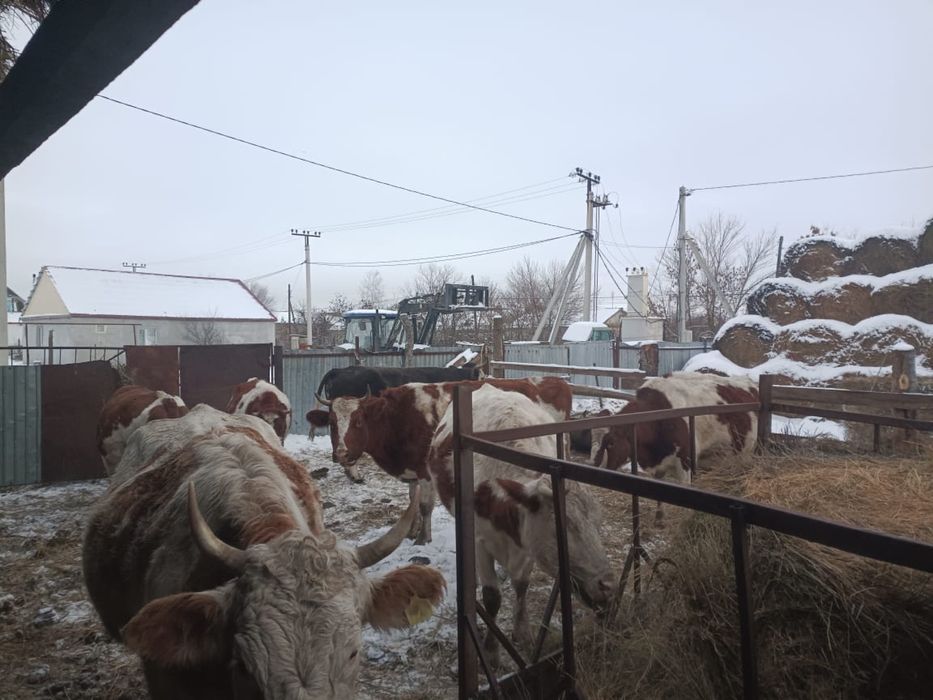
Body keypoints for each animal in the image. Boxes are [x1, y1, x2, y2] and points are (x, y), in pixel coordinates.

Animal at [306, 376, 573, 544]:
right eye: (332, 423)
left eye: (358, 422)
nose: (342, 453)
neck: (398, 417)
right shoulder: (412, 470)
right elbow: (412, 501)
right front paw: (411, 530)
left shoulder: (425, 471)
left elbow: (424, 505)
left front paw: (423, 537)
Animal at [428, 384, 614, 668]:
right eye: (561, 528)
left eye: (598, 521)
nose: (608, 584)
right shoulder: (480, 542)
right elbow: (492, 597)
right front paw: (491, 652)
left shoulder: (528, 546)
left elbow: (521, 586)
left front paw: (523, 632)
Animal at [595, 372, 759, 521]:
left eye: (611, 443)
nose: (600, 468)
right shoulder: (660, 463)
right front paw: (659, 517)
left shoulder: (686, 459)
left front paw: (688, 519)